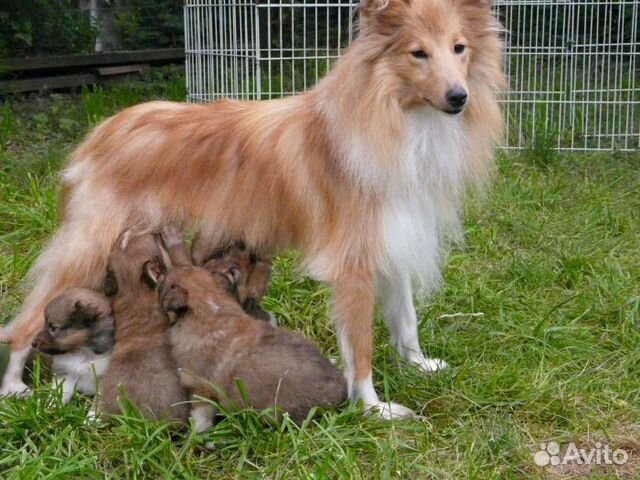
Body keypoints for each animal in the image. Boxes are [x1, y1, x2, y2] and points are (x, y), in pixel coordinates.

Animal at [158, 229, 348, 432]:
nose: (243, 244)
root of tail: (342, 388)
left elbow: (201, 415)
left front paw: (194, 434)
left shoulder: (200, 388)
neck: (209, 307)